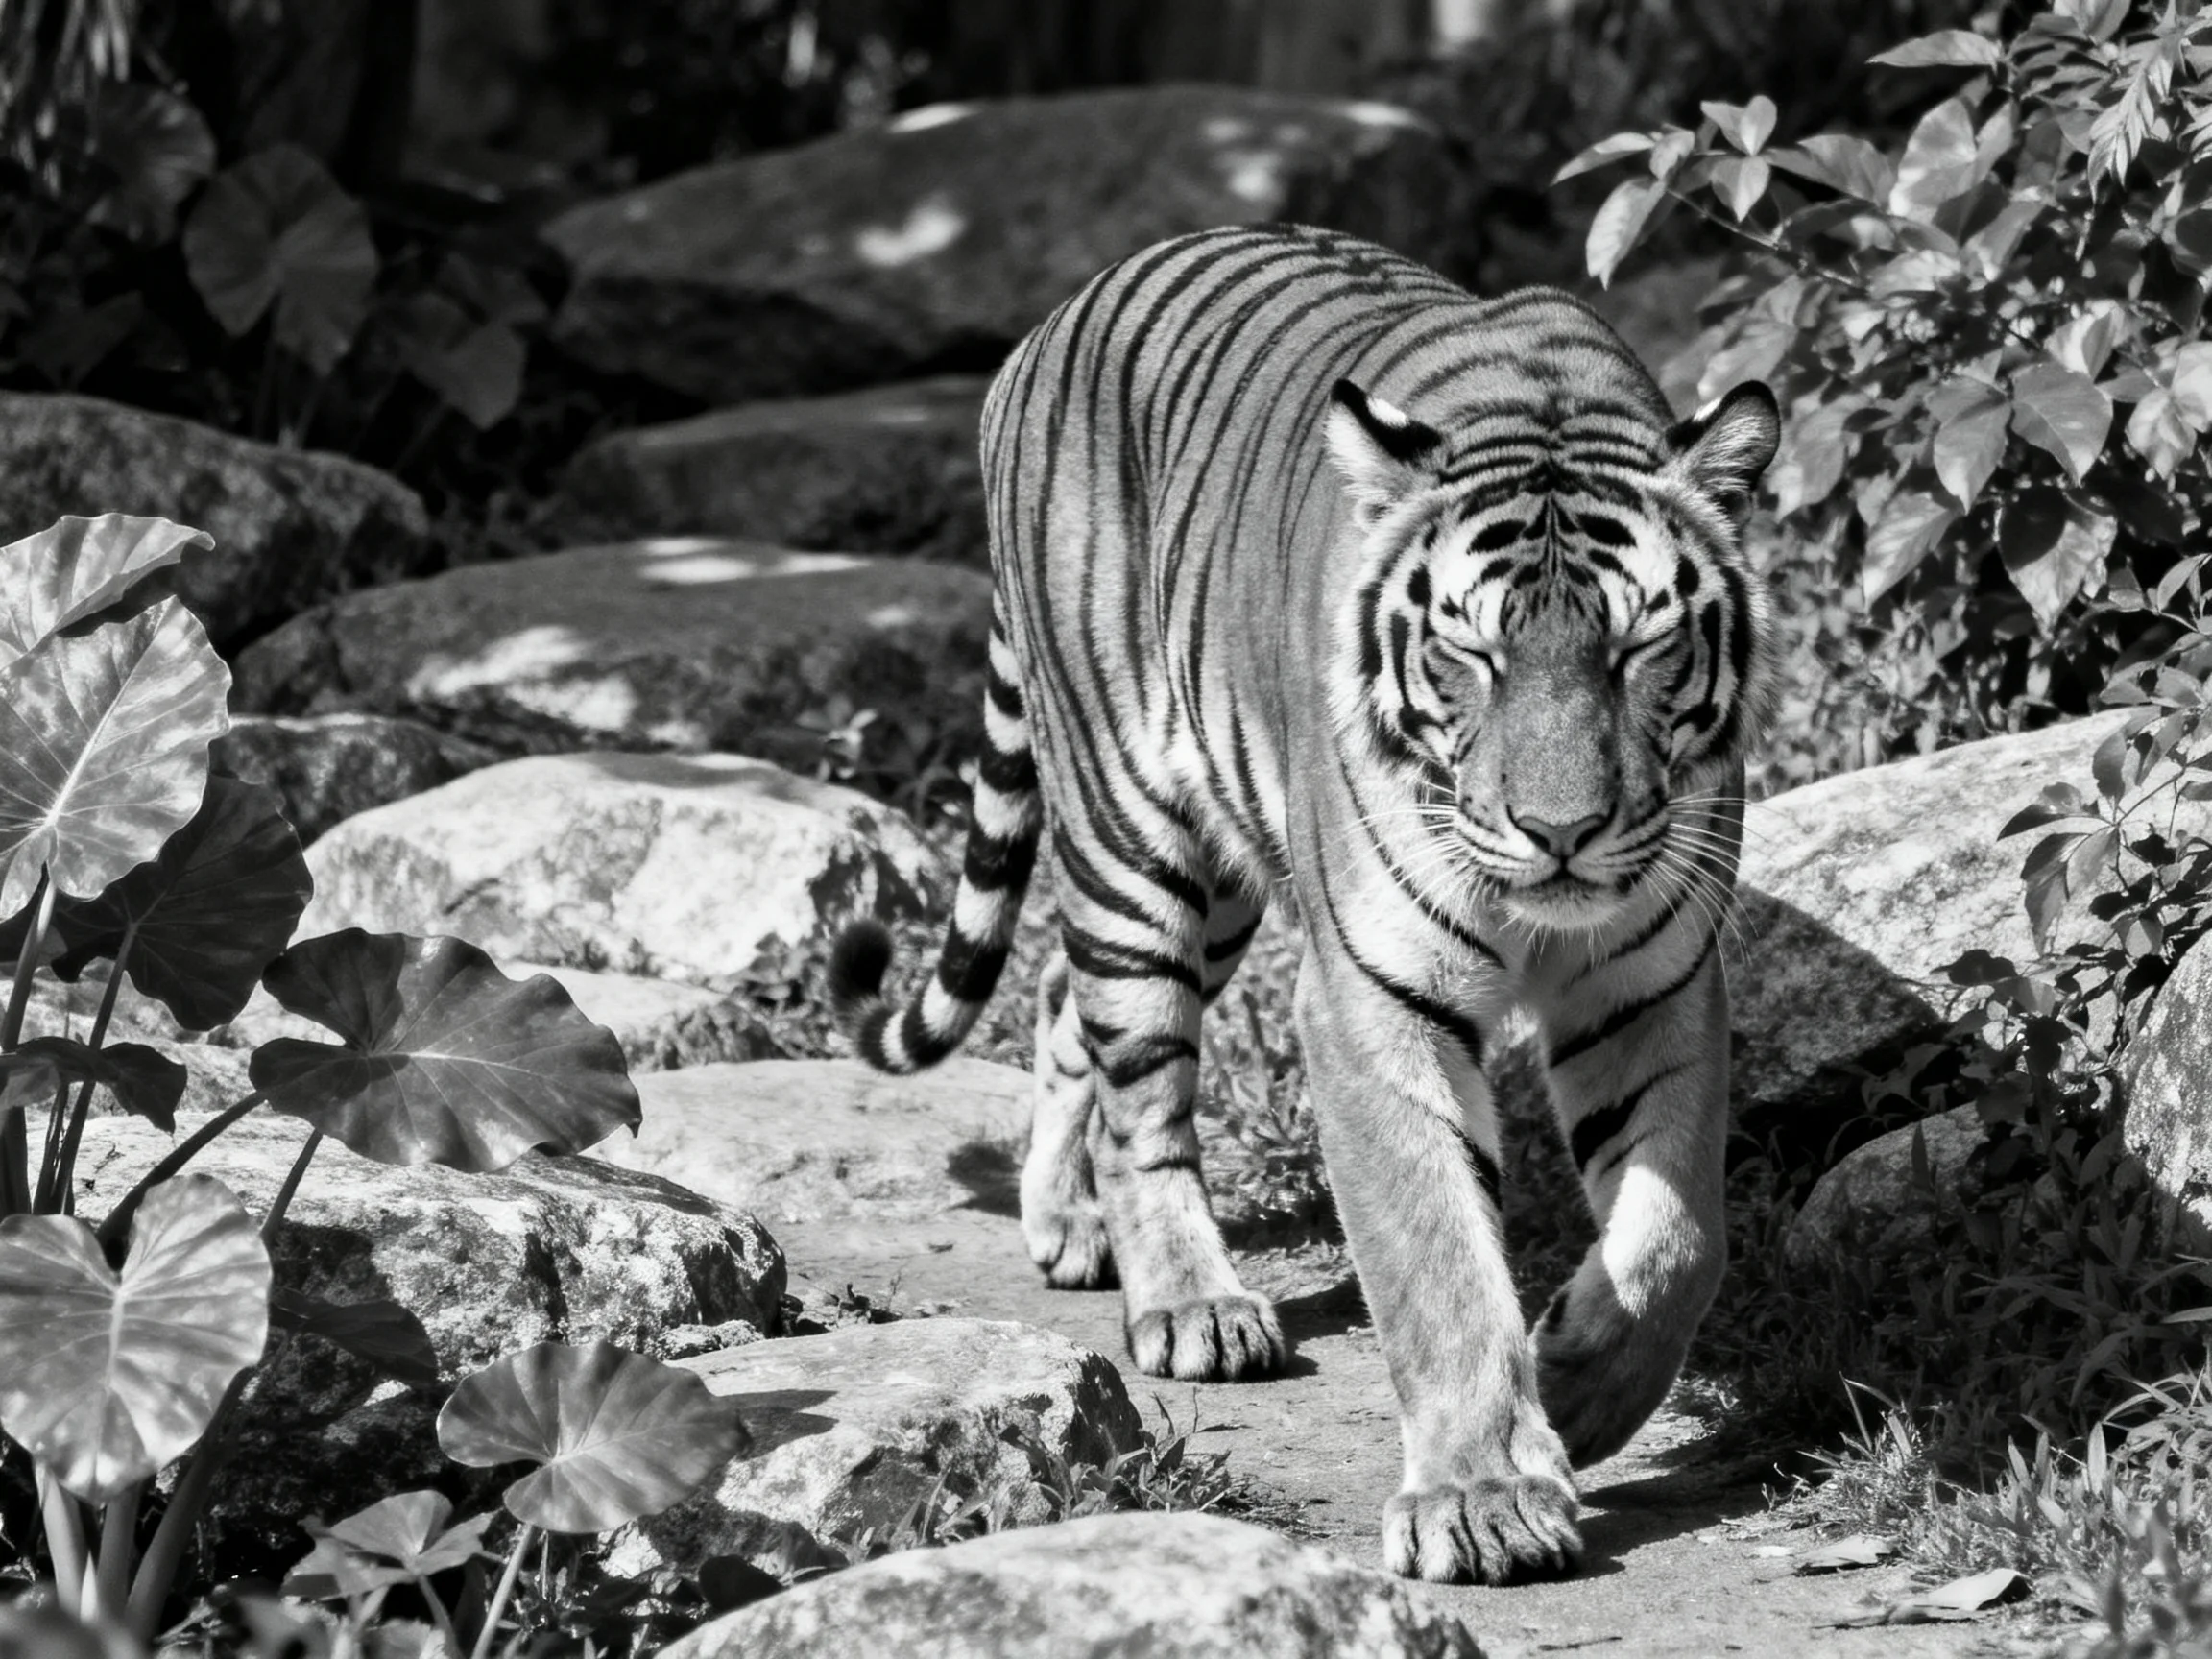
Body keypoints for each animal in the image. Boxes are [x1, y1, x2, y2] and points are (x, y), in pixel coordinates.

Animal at [829, 222, 1778, 1585]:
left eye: (1637, 650)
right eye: (1474, 653)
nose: (1560, 834)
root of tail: (1057, 313)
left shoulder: (1654, 978)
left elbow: (1676, 1237)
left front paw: (1577, 1383)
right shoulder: (1372, 998)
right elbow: (1435, 1255)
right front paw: (1481, 1499)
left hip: (1219, 886)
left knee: (1068, 1004)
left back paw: (1067, 1225)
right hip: (1135, 837)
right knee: (1143, 1087)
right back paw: (1188, 1302)